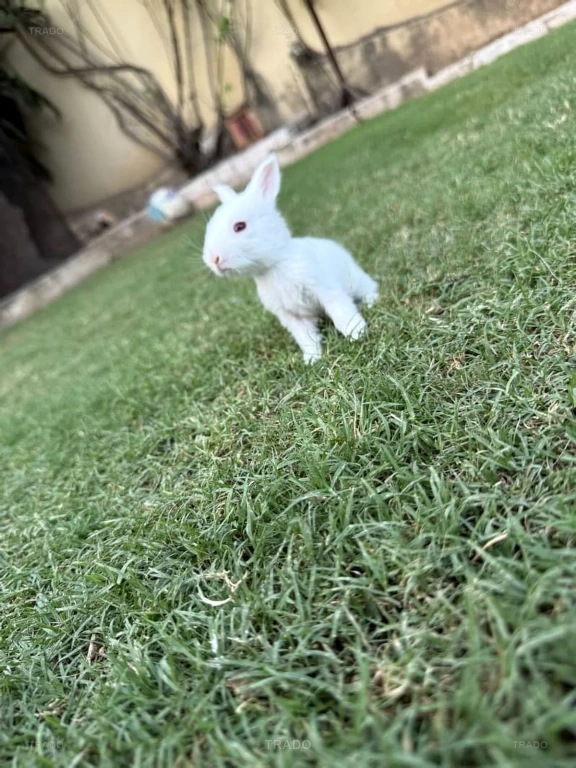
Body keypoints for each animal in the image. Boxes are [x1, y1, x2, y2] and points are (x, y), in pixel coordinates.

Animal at [202, 154, 378, 364]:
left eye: (240, 226)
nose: (213, 259)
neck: (274, 267)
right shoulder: (290, 316)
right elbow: (306, 338)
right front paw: (312, 360)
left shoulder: (326, 289)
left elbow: (342, 313)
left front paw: (357, 335)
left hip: (356, 280)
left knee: (370, 287)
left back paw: (371, 302)